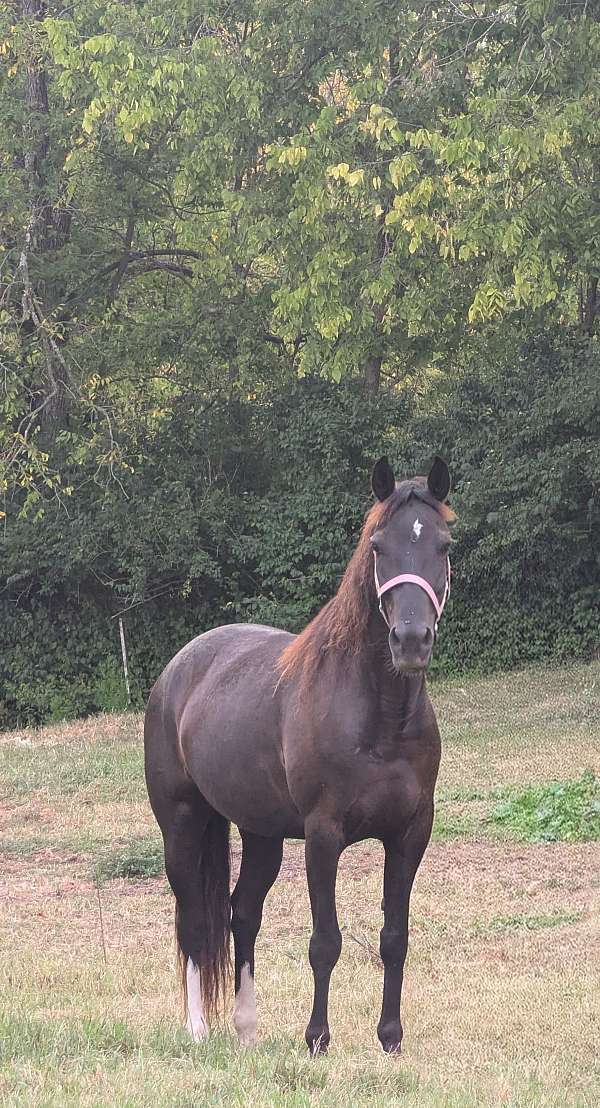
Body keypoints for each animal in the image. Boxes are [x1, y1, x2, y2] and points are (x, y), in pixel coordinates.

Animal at [144, 455, 454, 1055]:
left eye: (444, 545)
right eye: (378, 545)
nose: (410, 640)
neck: (378, 718)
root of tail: (178, 670)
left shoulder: (410, 833)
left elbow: (394, 936)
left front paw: (390, 1039)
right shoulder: (322, 834)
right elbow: (325, 941)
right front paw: (317, 1039)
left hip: (260, 833)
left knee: (242, 914)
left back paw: (246, 1029)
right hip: (183, 825)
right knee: (193, 920)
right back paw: (197, 1029)